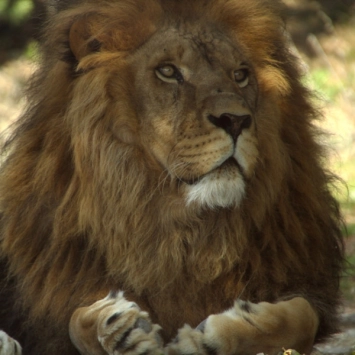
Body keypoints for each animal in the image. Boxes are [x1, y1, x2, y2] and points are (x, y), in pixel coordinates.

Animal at [0, 0, 346, 354]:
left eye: (240, 75)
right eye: (167, 72)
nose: (236, 120)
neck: (182, 232)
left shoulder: (308, 287)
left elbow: (302, 318)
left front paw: (212, 336)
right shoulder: (48, 319)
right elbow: (74, 322)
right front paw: (119, 330)